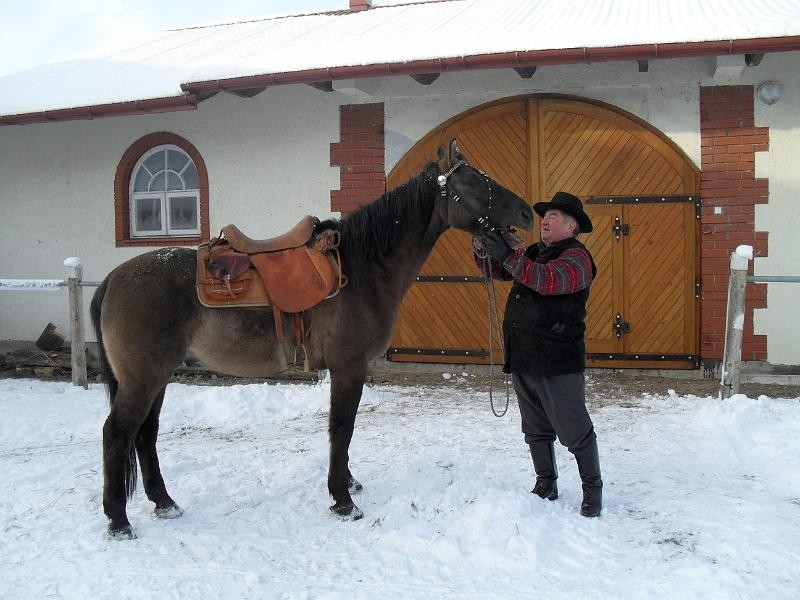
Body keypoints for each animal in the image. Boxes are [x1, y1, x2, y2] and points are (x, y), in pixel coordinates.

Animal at [90, 138, 536, 536]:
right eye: (473, 182)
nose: (528, 213)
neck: (363, 267)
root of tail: (114, 278)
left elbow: (344, 428)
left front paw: (349, 483)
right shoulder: (348, 367)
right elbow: (342, 427)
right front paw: (343, 499)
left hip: (158, 376)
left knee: (145, 434)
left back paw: (164, 503)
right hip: (144, 378)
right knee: (118, 433)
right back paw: (119, 521)